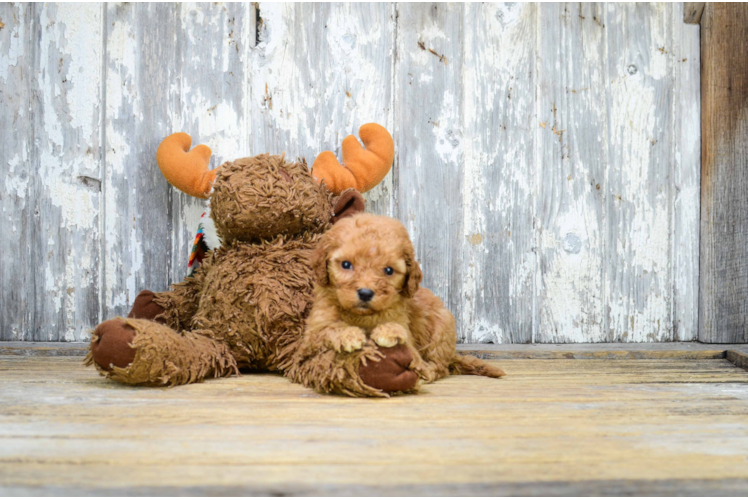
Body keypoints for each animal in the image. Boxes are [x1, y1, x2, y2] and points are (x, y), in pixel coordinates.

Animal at [306, 212, 506, 390]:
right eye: (346, 264)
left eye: (388, 270)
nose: (365, 293)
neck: (362, 315)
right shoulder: (313, 331)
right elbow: (329, 328)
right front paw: (348, 335)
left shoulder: (406, 329)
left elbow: (403, 336)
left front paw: (389, 331)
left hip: (442, 328)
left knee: (440, 367)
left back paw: (426, 372)